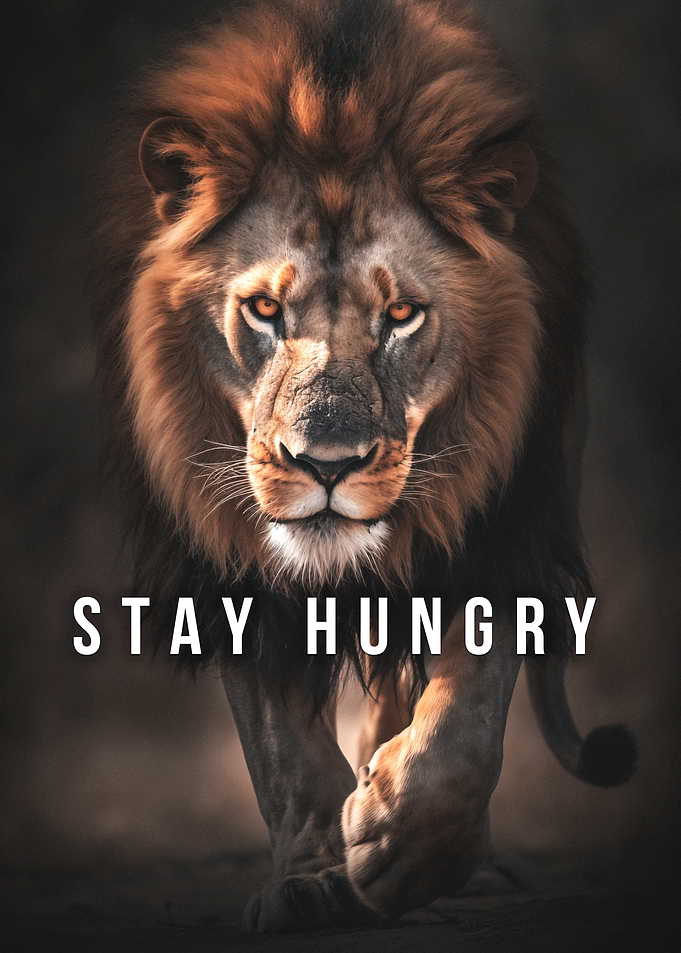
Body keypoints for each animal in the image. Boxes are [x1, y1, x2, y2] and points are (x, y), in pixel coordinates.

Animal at [90, 0, 636, 933]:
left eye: (403, 314)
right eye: (263, 309)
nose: (326, 463)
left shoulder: (502, 527)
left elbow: (465, 720)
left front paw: (401, 849)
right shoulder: (228, 562)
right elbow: (281, 744)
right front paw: (314, 876)